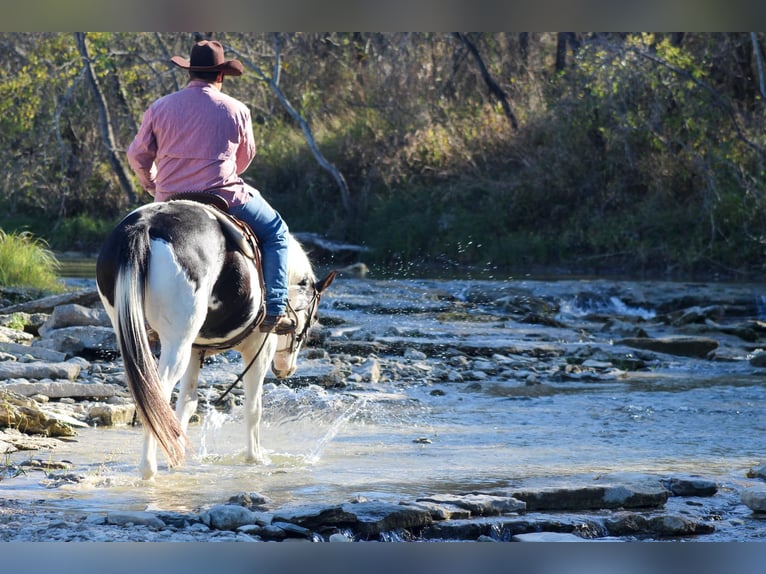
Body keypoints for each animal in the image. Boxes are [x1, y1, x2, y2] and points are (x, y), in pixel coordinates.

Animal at [95, 200, 336, 484]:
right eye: (314, 316)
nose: (286, 369)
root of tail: (145, 225)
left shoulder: (195, 350)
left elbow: (187, 403)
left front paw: (177, 459)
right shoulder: (259, 348)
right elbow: (253, 408)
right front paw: (255, 459)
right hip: (176, 343)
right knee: (156, 396)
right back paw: (148, 469)